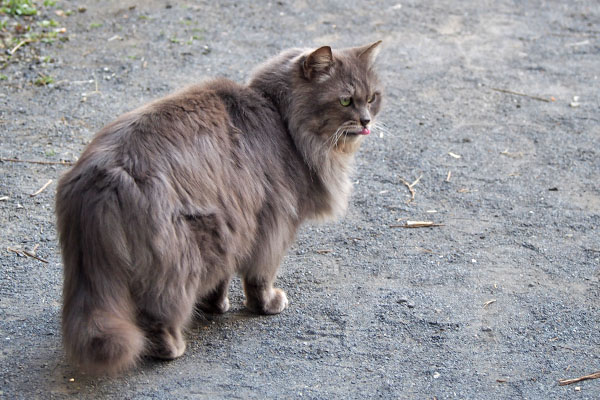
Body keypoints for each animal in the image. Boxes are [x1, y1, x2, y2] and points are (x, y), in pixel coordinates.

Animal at [57, 40, 384, 376]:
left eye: (373, 98)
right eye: (345, 100)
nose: (366, 120)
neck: (283, 121)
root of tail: (103, 176)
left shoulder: (236, 222)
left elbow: (222, 277)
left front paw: (214, 305)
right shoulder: (274, 222)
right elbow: (260, 275)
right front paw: (267, 304)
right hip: (186, 250)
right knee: (160, 310)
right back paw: (170, 348)